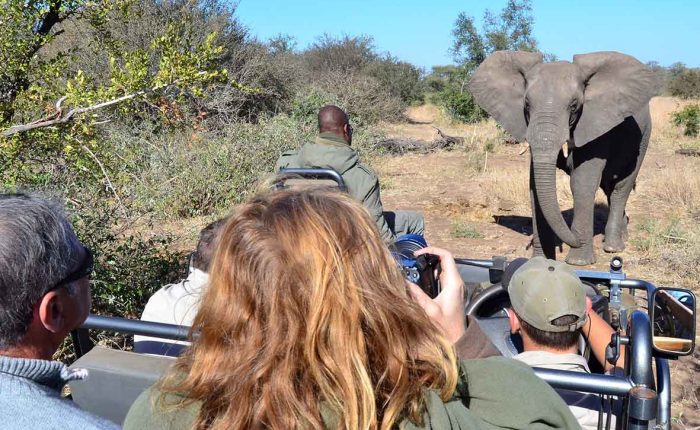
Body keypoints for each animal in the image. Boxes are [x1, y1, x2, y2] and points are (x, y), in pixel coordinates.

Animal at [469, 51, 659, 265]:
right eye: (527, 104)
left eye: (574, 105)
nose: (572, 239)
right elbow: (535, 185)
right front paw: (542, 261)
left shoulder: (595, 121)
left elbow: (581, 182)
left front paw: (578, 262)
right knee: (609, 187)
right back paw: (622, 235)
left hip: (644, 137)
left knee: (621, 187)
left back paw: (612, 247)